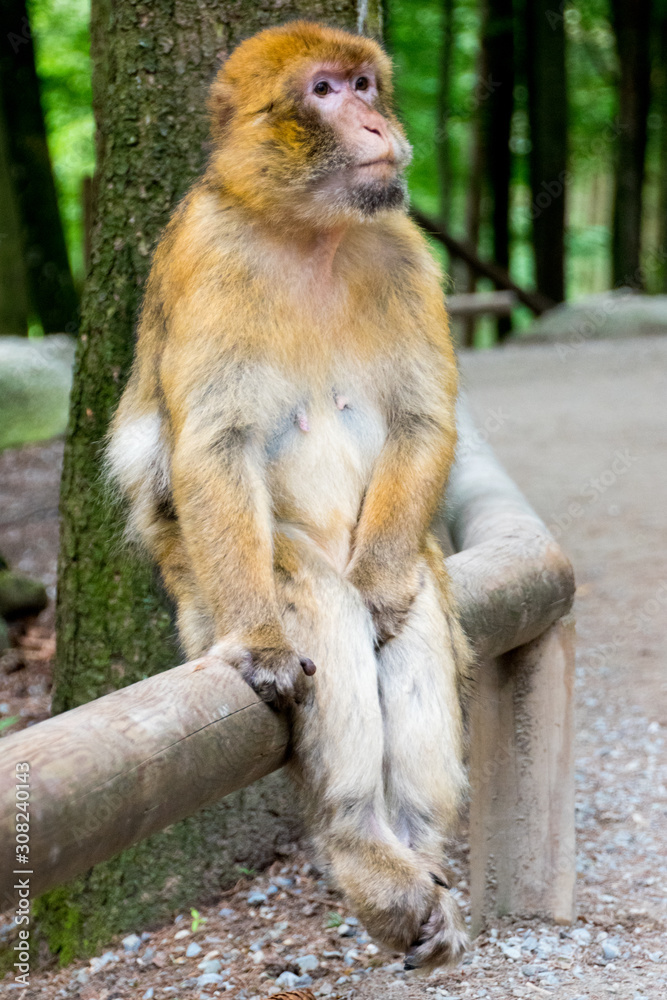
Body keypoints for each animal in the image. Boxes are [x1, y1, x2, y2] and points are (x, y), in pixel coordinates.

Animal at [107, 21, 472, 968]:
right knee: (314, 595)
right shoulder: (207, 252)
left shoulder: (404, 247)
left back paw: (413, 850)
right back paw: (360, 844)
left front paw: (379, 589)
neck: (310, 234)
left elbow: (422, 419)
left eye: (363, 84)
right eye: (322, 92)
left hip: (406, 546)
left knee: (410, 612)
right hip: (201, 590)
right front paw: (269, 647)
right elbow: (214, 447)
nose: (375, 124)